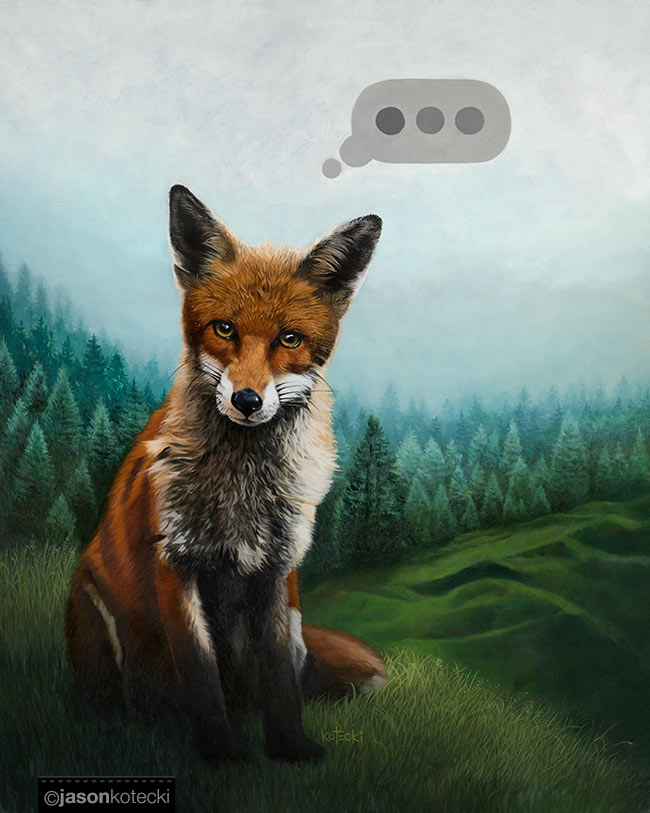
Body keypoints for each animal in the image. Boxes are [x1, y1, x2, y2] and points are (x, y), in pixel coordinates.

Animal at [64, 184, 388, 764]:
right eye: (224, 329)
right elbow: (201, 673)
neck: (243, 489)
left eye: (289, 339)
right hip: (94, 613)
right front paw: (221, 752)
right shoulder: (176, 565)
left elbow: (280, 680)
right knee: (124, 700)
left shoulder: (277, 571)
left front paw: (289, 746)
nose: (246, 400)